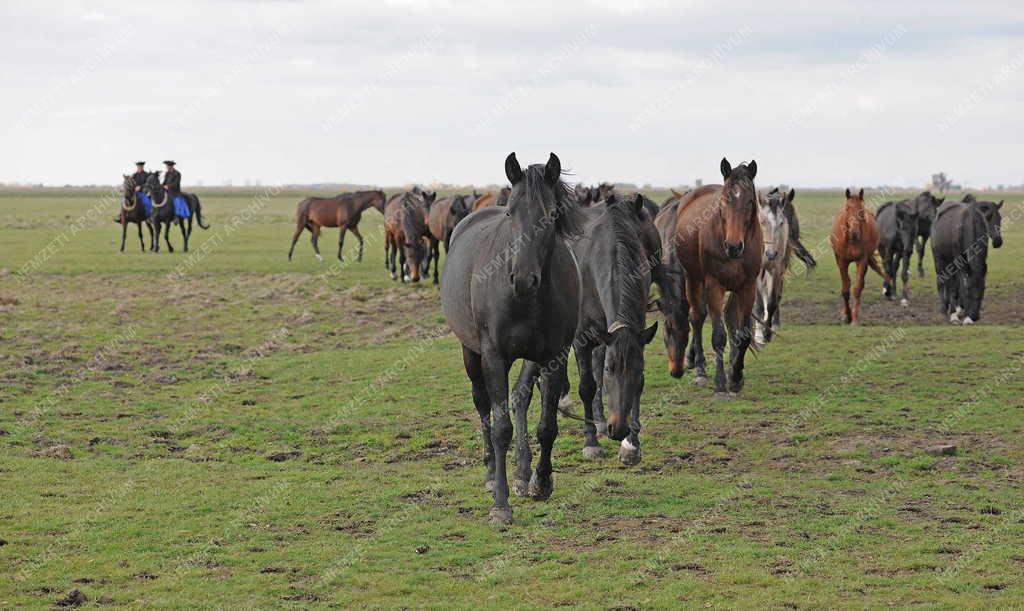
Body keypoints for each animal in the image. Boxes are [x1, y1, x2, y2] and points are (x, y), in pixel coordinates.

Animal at [440, 152, 585, 524]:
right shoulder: (493, 355)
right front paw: (501, 505)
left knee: (520, 398)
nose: (522, 279)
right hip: (472, 354)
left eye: (552, 214)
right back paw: (493, 474)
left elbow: (547, 425)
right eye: (510, 213)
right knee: (483, 407)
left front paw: (541, 482)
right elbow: (500, 427)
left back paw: (522, 473)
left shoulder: (553, 355)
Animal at [671, 158, 761, 395]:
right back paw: (701, 370)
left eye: (750, 201)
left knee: (729, 318)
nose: (733, 246)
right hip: (692, 278)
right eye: (723, 201)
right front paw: (720, 384)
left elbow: (743, 334)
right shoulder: (714, 285)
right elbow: (718, 335)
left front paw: (736, 376)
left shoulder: (748, 286)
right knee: (697, 317)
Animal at [827, 188, 892, 323]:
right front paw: (846, 315)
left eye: (861, 210)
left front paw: (854, 318)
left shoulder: (862, 261)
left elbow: (857, 289)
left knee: (860, 284)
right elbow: (845, 289)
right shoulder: (842, 262)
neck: (851, 240)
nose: (854, 232)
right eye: (847, 208)